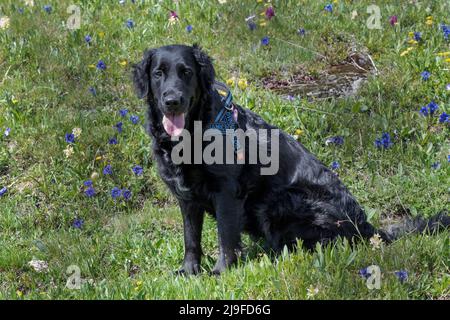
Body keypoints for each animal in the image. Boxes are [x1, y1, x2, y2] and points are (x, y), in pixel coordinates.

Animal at [133, 44, 446, 276]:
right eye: (158, 73)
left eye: (186, 72)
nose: (172, 101)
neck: (192, 134)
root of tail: (364, 225)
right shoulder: (187, 198)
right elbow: (191, 239)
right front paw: (188, 271)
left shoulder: (226, 193)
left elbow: (226, 239)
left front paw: (221, 272)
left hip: (282, 200)